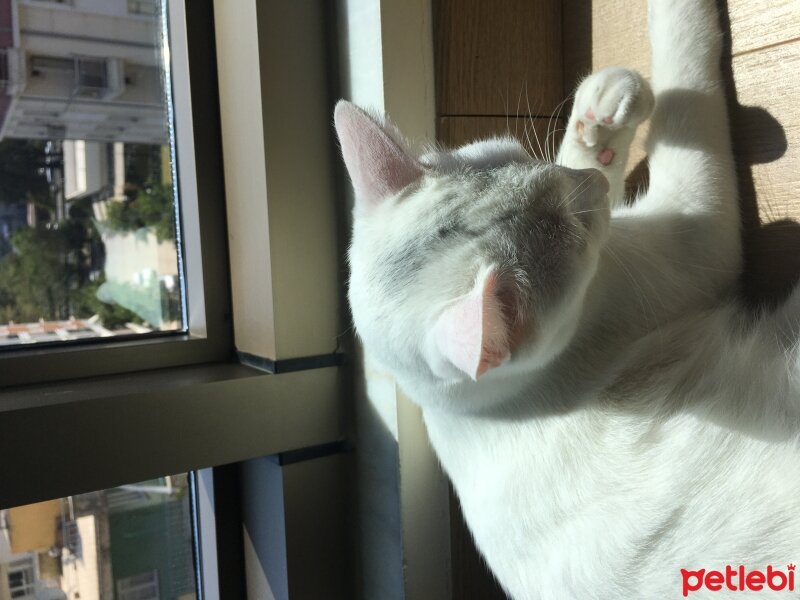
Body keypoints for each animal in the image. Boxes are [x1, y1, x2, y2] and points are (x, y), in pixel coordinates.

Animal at [332, 1, 800, 600]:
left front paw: (598, 122)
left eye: (518, 164)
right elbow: (687, 75)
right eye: (562, 234)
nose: (587, 190)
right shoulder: (692, 237)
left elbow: (597, 152)